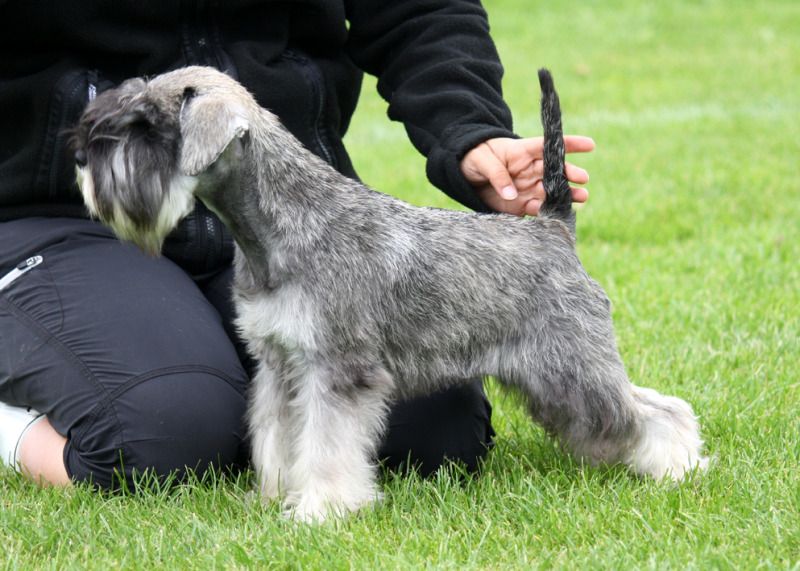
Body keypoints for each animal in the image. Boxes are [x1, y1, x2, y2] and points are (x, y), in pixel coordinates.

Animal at [69, 67, 708, 524]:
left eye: (148, 126)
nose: (79, 158)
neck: (277, 225)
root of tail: (553, 228)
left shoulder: (337, 369)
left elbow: (326, 444)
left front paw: (319, 510)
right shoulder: (279, 363)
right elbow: (277, 435)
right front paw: (272, 497)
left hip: (570, 368)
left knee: (656, 411)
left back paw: (680, 469)